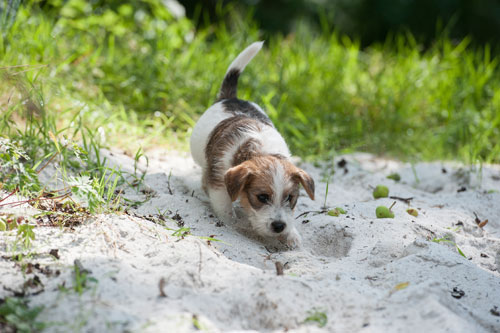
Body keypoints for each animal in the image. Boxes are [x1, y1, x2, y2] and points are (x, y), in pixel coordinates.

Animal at [189, 40, 314, 246]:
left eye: (290, 198)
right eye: (262, 197)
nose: (279, 226)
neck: (263, 151)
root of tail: (230, 97)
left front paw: (292, 235)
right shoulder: (219, 180)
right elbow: (224, 206)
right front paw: (232, 224)